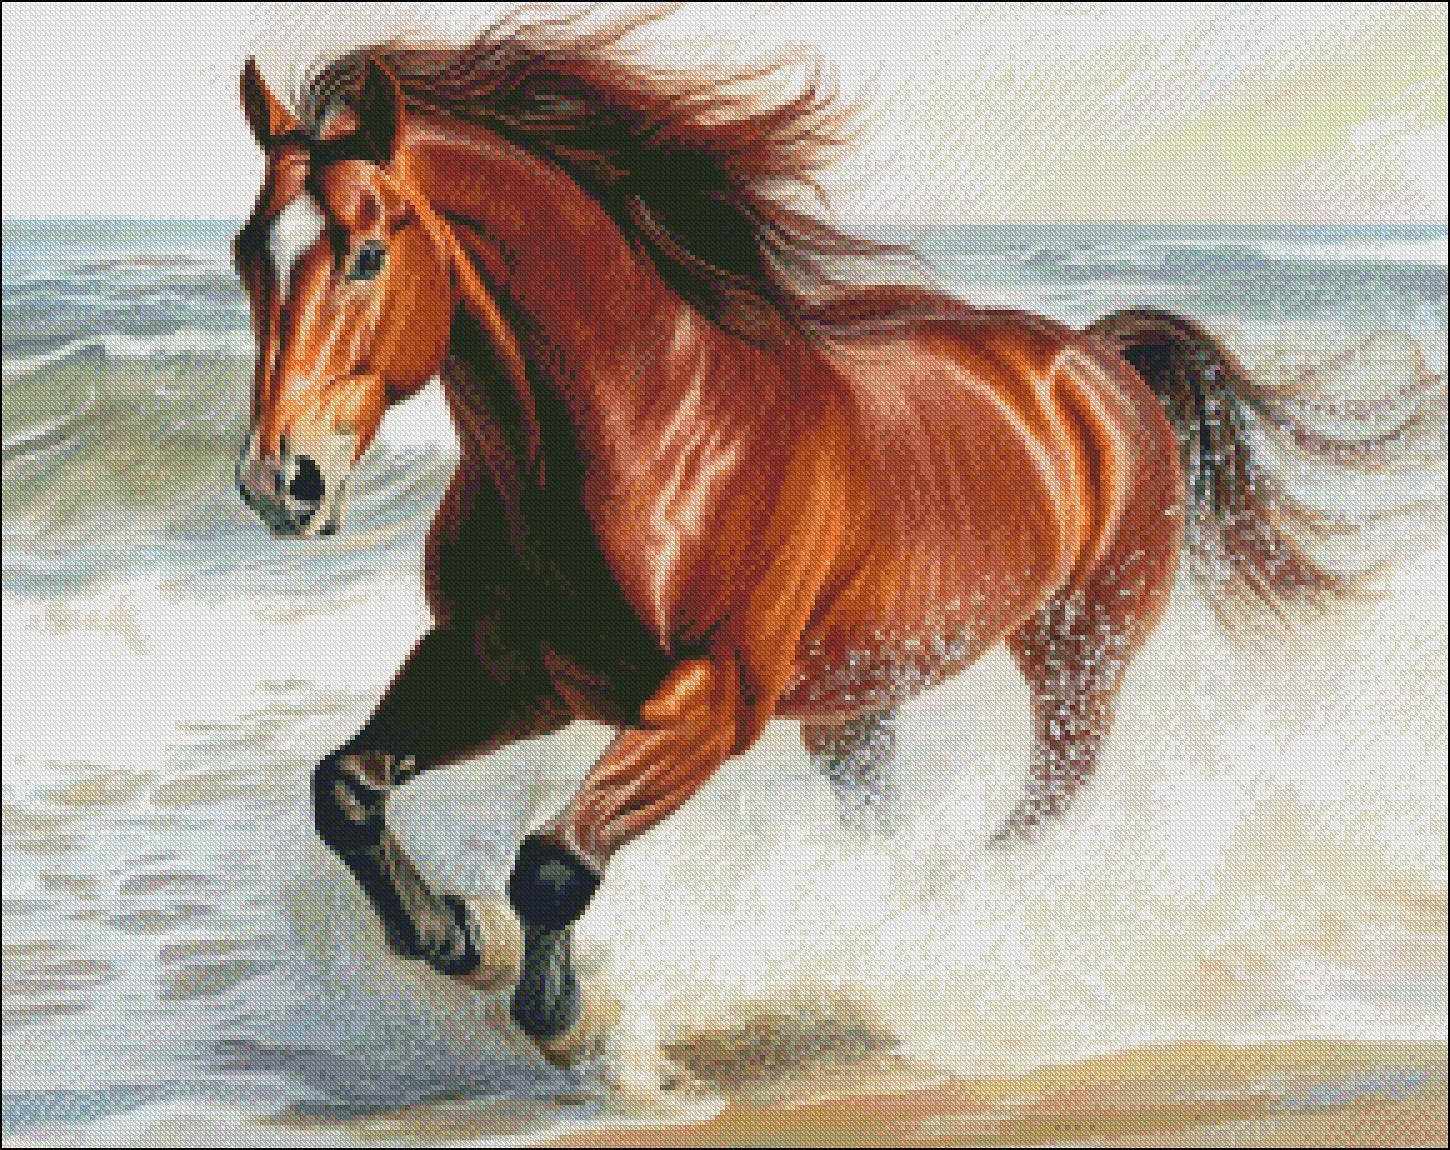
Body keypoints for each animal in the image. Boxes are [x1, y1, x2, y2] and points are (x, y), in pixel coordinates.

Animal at [231, 12, 1437, 1066]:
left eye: (367, 253)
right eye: (249, 250)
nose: (279, 483)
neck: (648, 434)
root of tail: (1097, 364)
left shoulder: (709, 705)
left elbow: (555, 864)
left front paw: (560, 1015)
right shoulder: (508, 672)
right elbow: (346, 789)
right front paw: (450, 936)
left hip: (1075, 666)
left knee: (1041, 812)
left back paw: (944, 936)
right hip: (858, 706)